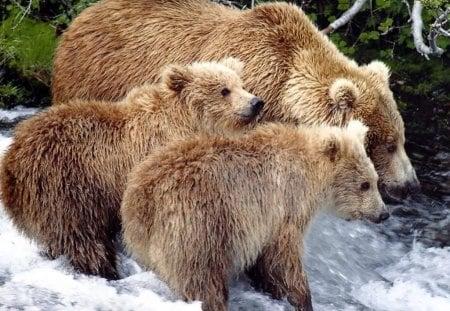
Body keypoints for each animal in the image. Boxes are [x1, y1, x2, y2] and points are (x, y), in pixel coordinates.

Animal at [0, 58, 264, 280]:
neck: (186, 122)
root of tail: (11, 159)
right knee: (82, 235)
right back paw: (103, 268)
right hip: (67, 186)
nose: (256, 103)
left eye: (241, 84)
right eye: (224, 90)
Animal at [121, 121, 388, 311]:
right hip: (199, 225)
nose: (383, 213)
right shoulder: (285, 205)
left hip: (145, 240)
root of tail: (144, 199)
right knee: (203, 280)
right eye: (365, 184)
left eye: (375, 181)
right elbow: (284, 257)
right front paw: (303, 298)